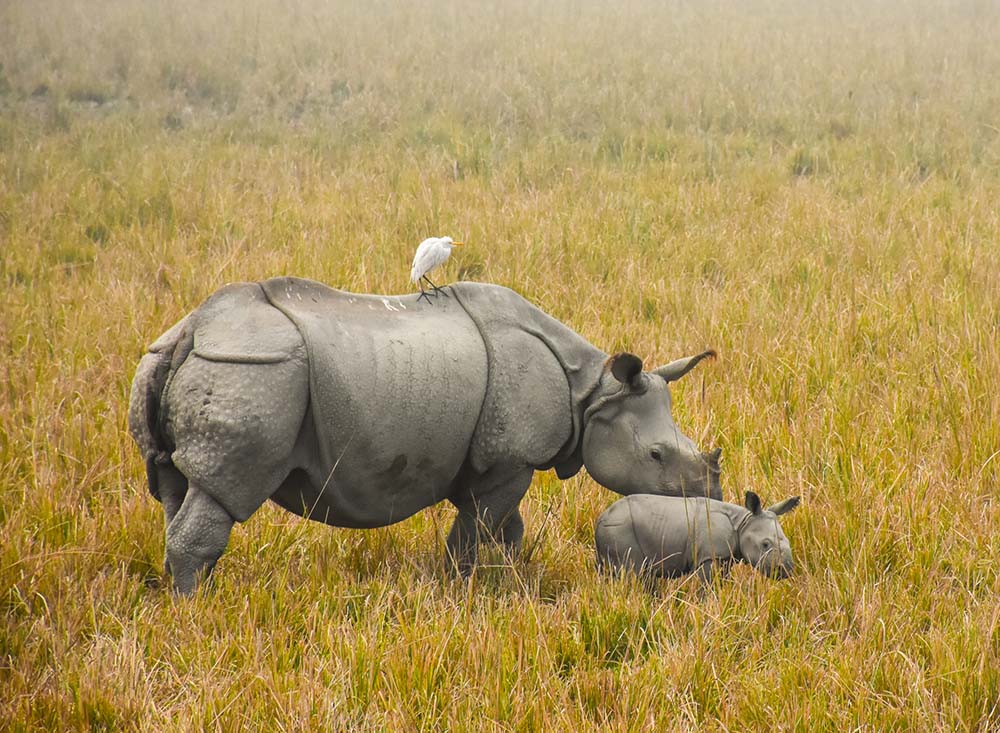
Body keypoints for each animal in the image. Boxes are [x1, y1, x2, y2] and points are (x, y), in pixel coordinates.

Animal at [128, 276, 721, 593]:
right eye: (656, 454)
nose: (710, 493)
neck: (591, 392)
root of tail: (192, 330)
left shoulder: (492, 461)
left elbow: (505, 528)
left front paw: (510, 580)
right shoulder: (510, 459)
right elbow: (476, 530)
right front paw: (462, 591)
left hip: (189, 362)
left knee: (176, 487)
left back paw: (187, 592)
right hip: (254, 372)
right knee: (223, 490)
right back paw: (196, 610)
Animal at [595, 492, 800, 582]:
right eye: (765, 544)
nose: (786, 570)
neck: (742, 522)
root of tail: (600, 518)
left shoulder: (724, 557)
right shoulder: (709, 556)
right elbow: (706, 586)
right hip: (620, 530)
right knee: (632, 575)